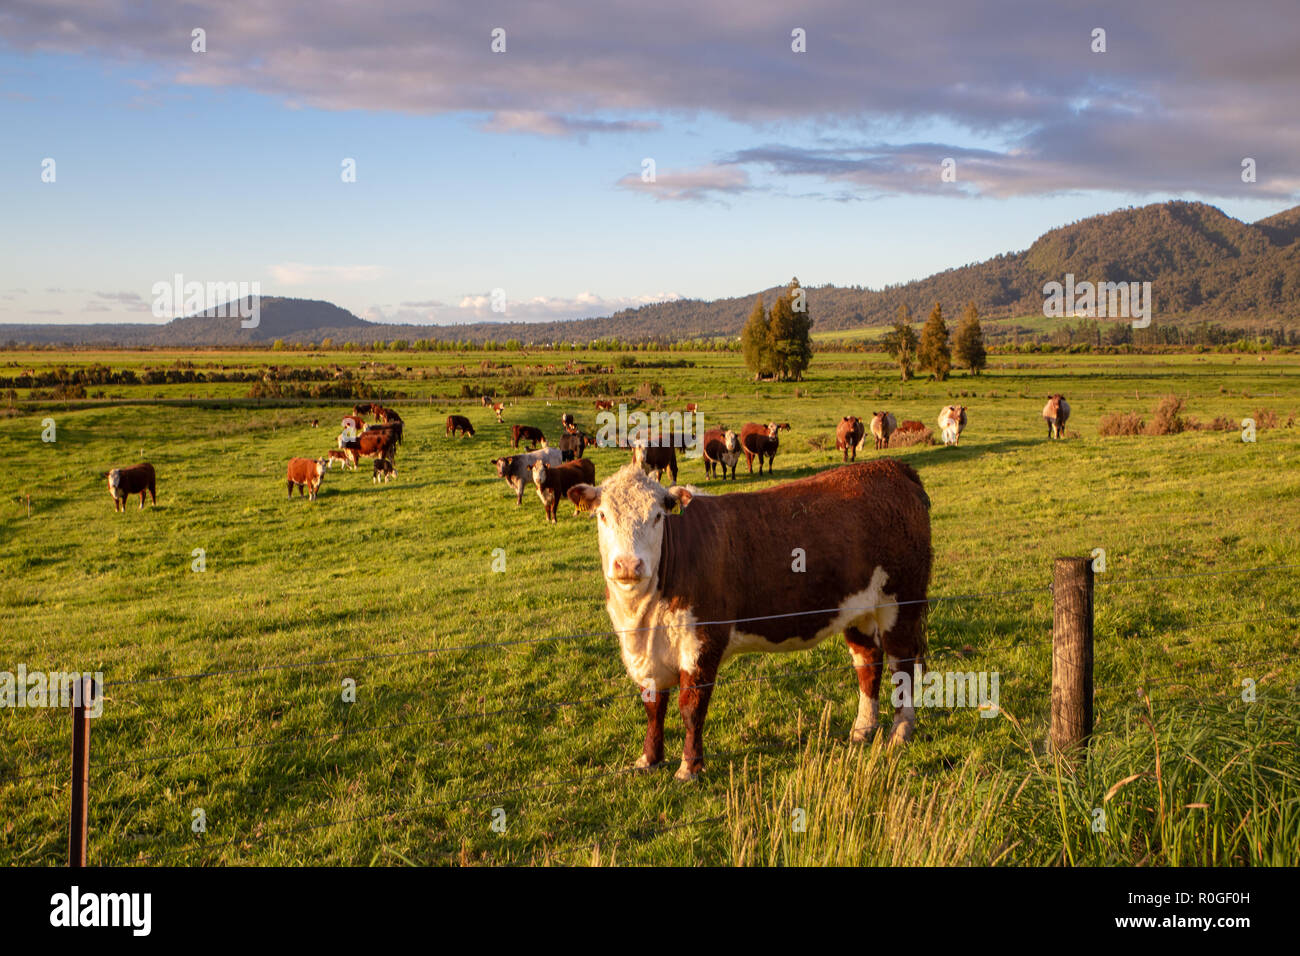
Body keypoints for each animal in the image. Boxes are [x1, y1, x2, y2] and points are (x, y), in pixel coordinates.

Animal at [568, 460, 932, 780]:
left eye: (657, 516)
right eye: (602, 515)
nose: (629, 565)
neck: (641, 618)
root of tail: (893, 467)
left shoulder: (703, 642)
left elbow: (691, 708)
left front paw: (689, 767)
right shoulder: (647, 656)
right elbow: (654, 707)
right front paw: (649, 759)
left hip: (901, 602)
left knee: (901, 664)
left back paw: (900, 731)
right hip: (859, 610)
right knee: (868, 663)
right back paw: (863, 729)